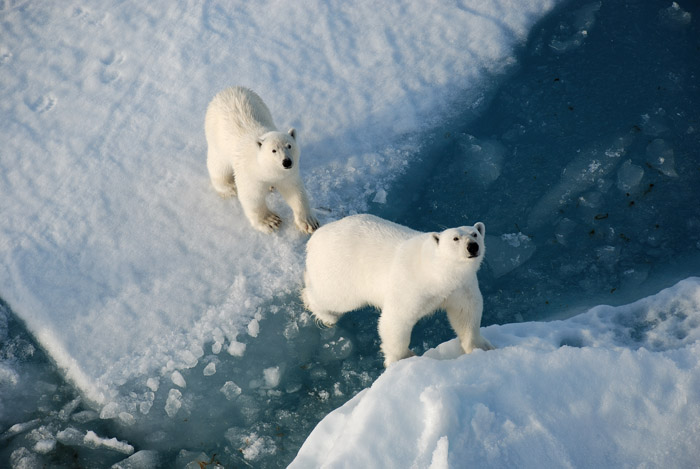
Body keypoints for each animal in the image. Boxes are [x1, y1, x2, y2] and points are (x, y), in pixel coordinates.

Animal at [205, 86, 320, 232]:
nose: (286, 162)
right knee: (218, 166)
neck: (264, 168)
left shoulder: (287, 175)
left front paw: (309, 223)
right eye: (273, 150)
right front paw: (270, 221)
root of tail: (228, 89)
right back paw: (229, 187)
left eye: (289, 145)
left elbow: (294, 191)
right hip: (216, 140)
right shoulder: (249, 173)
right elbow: (252, 196)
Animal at [300, 213, 492, 366]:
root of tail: (315, 238)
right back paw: (324, 313)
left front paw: (481, 347)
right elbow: (395, 321)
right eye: (455, 238)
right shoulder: (411, 285)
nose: (472, 246)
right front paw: (402, 358)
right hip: (341, 271)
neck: (436, 271)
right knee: (334, 298)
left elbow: (466, 313)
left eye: (475, 234)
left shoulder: (460, 287)